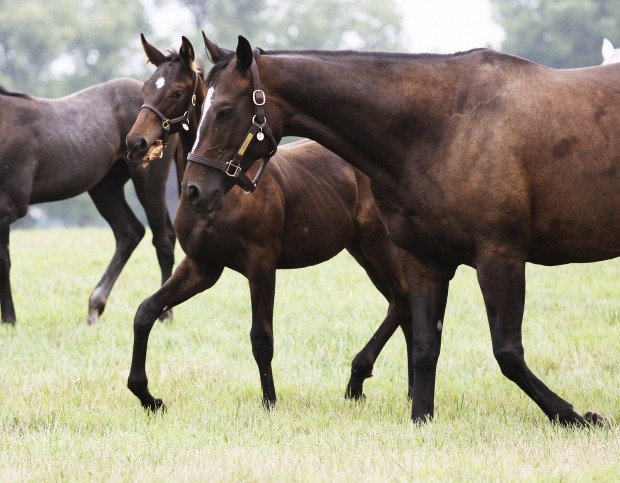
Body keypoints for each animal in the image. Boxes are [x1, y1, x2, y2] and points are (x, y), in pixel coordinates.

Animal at [178, 35, 620, 428]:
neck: (445, 126)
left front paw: (576, 416)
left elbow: (508, 352)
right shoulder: (425, 260)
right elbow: (425, 344)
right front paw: (421, 418)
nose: (193, 190)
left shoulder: (500, 255)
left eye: (225, 111)